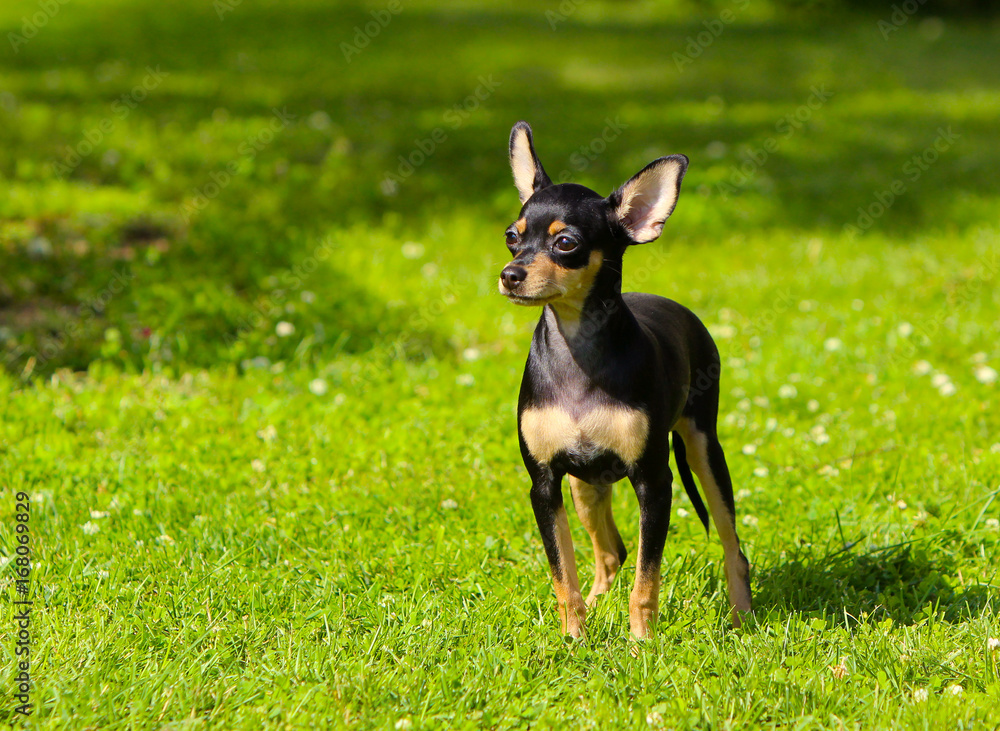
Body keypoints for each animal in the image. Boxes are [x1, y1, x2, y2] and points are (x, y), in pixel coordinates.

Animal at [500, 123, 752, 636]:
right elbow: (564, 576)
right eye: (512, 236)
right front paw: (573, 638)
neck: (577, 349)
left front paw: (641, 643)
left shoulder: (654, 483)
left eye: (566, 243)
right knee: (611, 552)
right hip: (585, 486)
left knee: (733, 547)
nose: (510, 275)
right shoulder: (545, 486)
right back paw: (597, 605)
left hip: (704, 451)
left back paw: (741, 619)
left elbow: (646, 581)